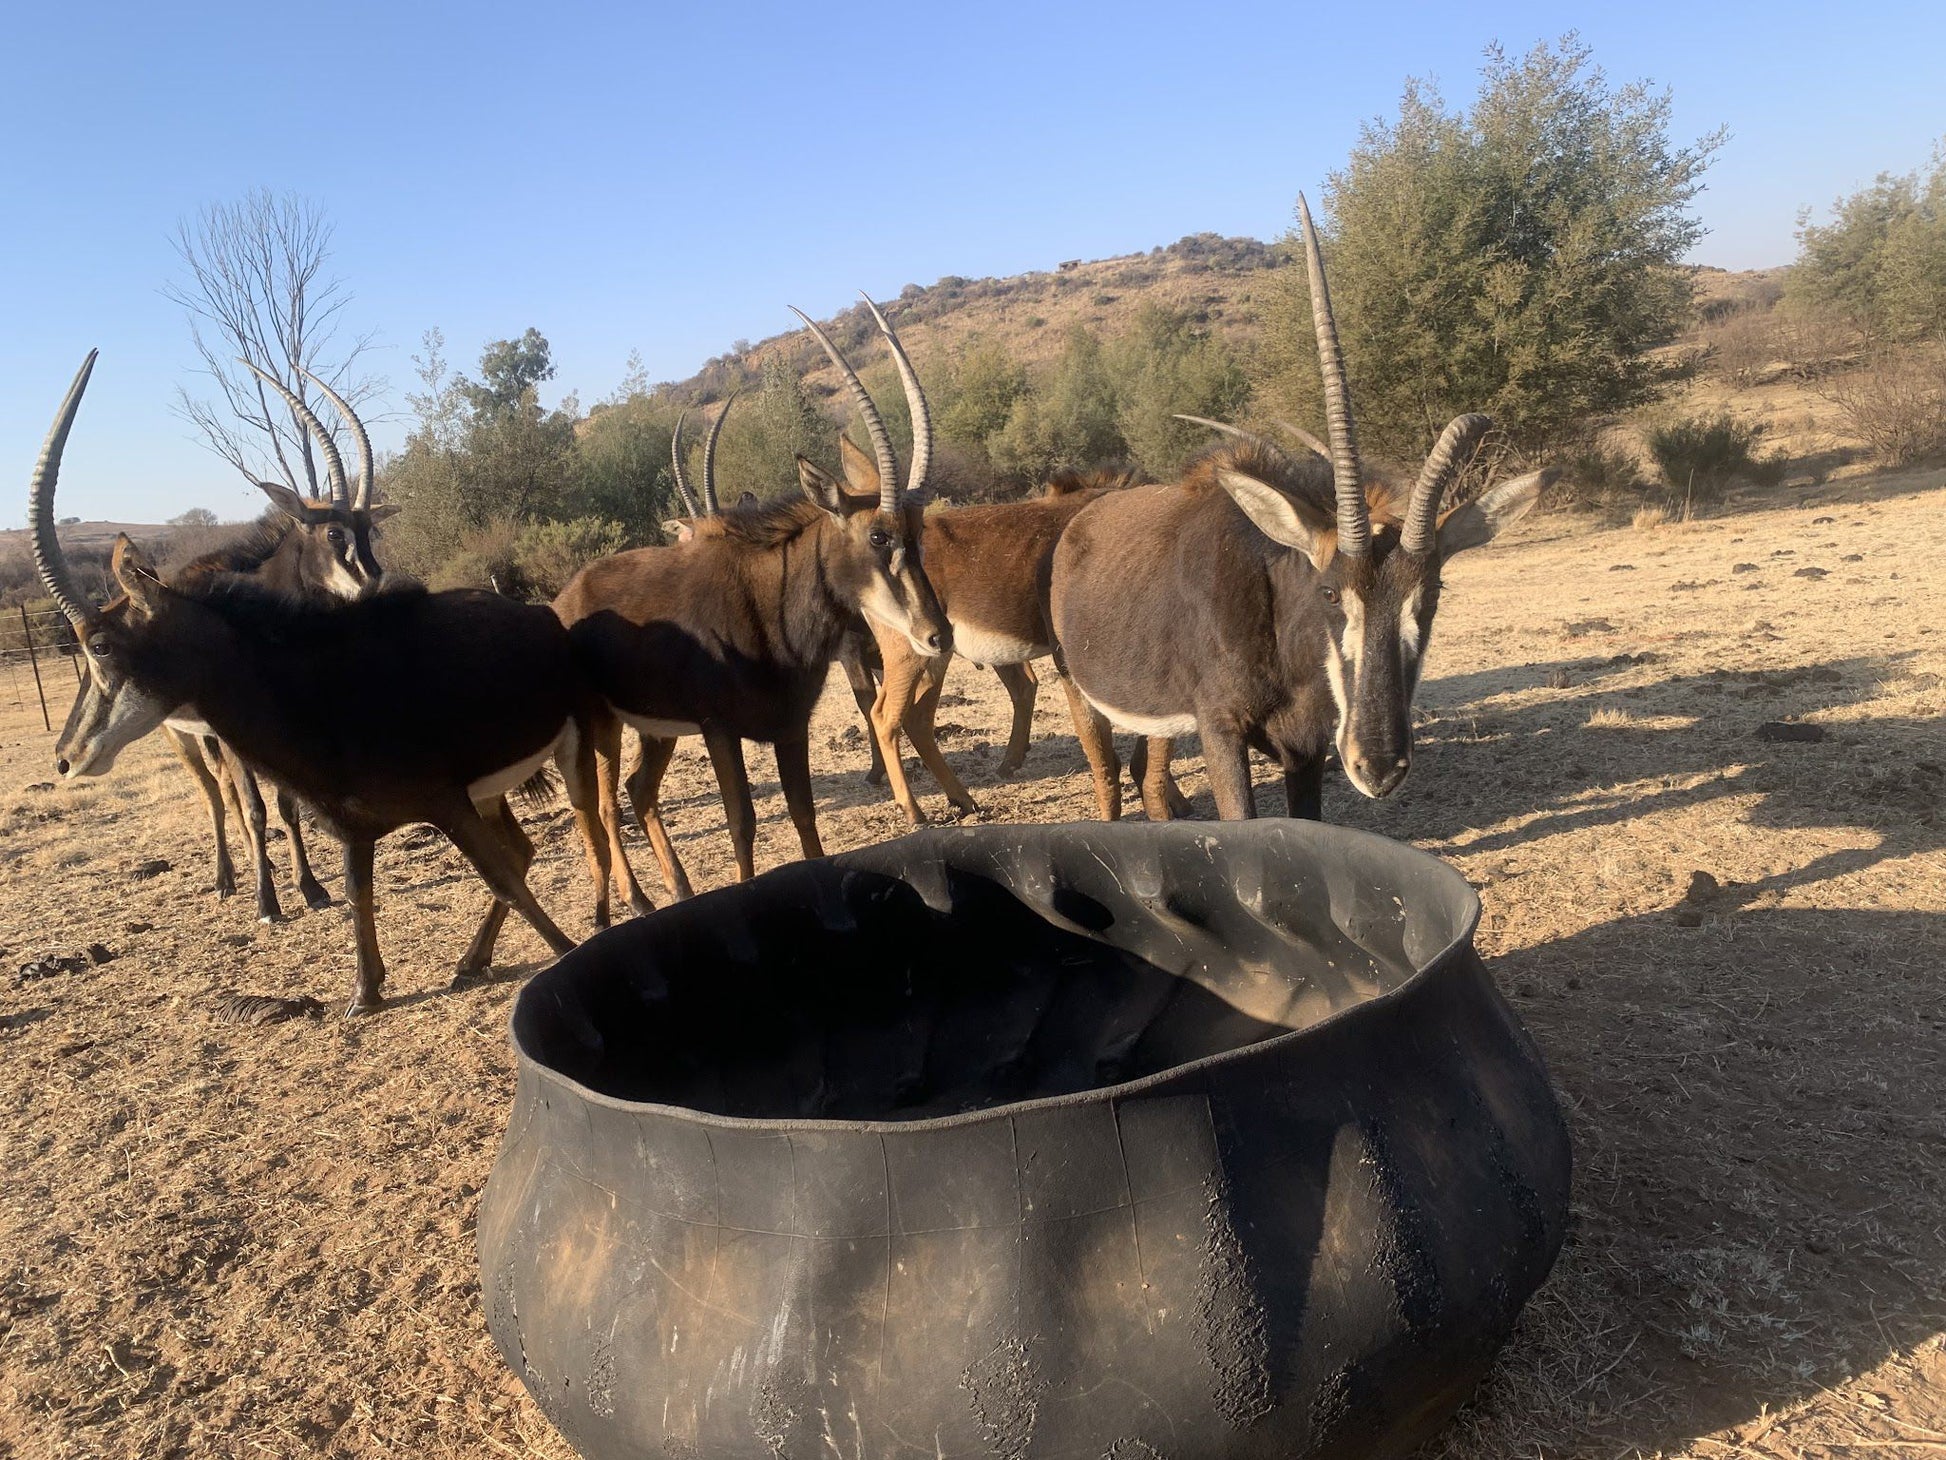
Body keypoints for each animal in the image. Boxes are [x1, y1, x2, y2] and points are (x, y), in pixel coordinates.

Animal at [165, 360, 400, 918]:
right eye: (334, 534)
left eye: (370, 533)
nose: (376, 586)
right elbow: (255, 808)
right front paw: (267, 902)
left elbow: (287, 804)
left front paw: (310, 887)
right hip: (184, 738)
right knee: (215, 795)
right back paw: (228, 878)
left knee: (226, 791)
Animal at [556, 297, 949, 918]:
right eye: (878, 537)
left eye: (919, 533)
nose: (937, 636)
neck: (771, 608)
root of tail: (565, 596)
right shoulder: (720, 731)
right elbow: (742, 822)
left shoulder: (790, 726)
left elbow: (804, 815)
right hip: (603, 725)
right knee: (603, 804)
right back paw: (638, 899)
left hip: (657, 729)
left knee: (639, 790)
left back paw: (680, 888)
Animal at [852, 459, 1136, 825]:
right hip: (908, 656)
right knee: (885, 717)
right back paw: (914, 810)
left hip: (936, 656)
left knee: (918, 718)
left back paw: (964, 799)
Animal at [1050, 197, 1549, 825]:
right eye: (1330, 592)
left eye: (1433, 593)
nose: (1377, 766)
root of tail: (1080, 519)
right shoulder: (1221, 729)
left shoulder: (1306, 747)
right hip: (1080, 689)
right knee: (1106, 770)